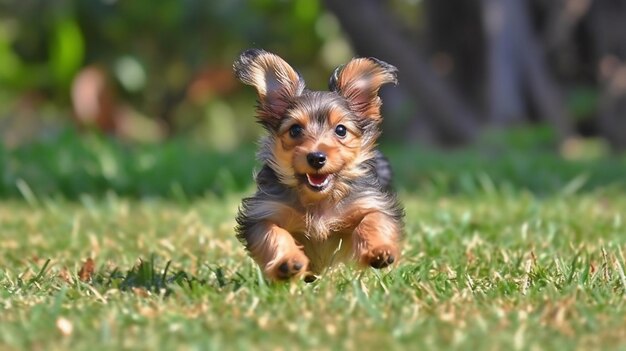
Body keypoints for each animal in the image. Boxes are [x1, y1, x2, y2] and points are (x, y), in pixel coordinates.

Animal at [232, 48, 402, 282]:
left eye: (341, 130)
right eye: (295, 130)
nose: (316, 157)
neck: (318, 201)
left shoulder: (371, 202)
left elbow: (374, 220)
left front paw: (379, 251)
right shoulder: (263, 213)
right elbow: (273, 234)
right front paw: (286, 262)